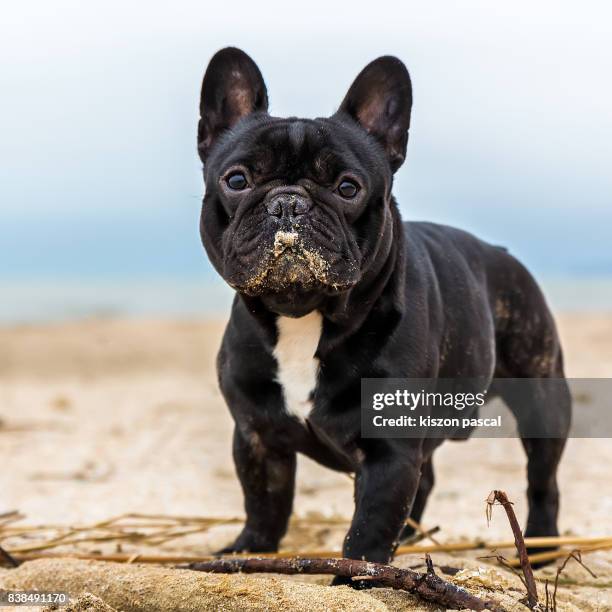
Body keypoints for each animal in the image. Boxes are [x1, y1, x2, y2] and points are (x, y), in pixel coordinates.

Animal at [197, 46, 572, 580]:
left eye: (347, 187)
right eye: (236, 180)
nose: (288, 203)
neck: (304, 318)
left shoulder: (390, 451)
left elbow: (369, 524)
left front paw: (356, 576)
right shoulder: (255, 436)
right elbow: (264, 501)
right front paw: (249, 550)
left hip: (543, 395)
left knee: (543, 476)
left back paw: (539, 546)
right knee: (427, 478)